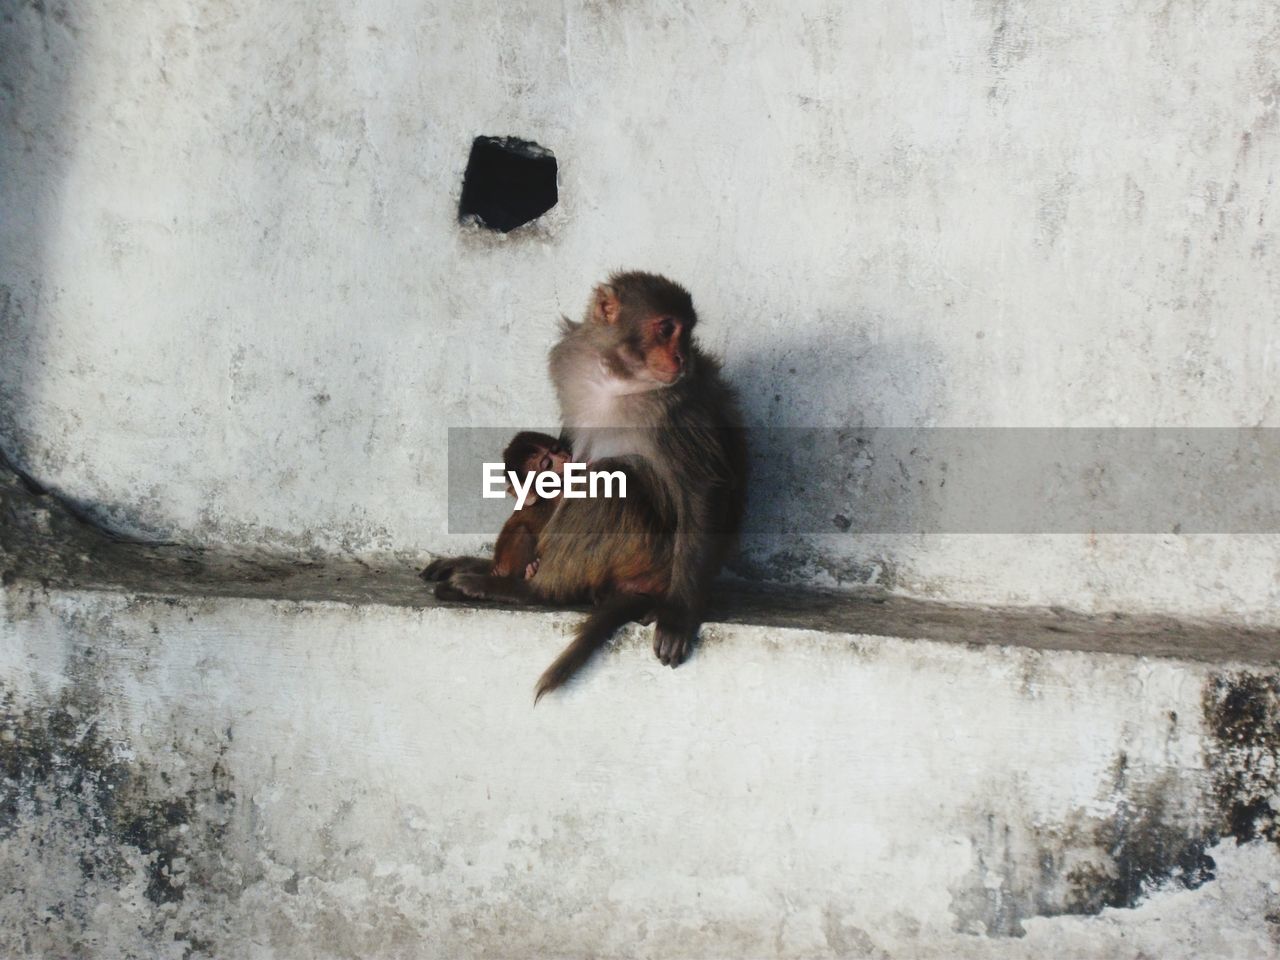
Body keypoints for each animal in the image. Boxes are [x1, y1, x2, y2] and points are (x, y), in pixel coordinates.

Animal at [427, 271, 747, 701]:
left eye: (686, 331)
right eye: (666, 329)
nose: (682, 358)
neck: (620, 379)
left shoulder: (677, 406)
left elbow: (700, 488)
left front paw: (681, 615)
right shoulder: (569, 363)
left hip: (653, 557)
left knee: (612, 479)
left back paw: (532, 591)